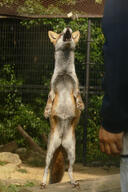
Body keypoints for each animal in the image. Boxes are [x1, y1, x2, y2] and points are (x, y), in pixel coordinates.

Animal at [41, 27, 84, 188]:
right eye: (60, 34)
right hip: (49, 153)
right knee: (46, 168)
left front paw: (80, 104)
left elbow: (79, 95)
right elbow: (49, 100)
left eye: (69, 31)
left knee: (70, 169)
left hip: (72, 153)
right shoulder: (53, 89)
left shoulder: (76, 87)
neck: (64, 73)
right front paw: (47, 111)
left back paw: (73, 181)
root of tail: (60, 142)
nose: (67, 28)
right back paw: (43, 183)